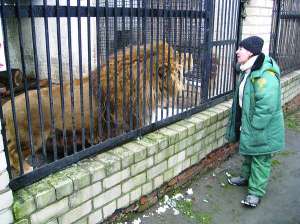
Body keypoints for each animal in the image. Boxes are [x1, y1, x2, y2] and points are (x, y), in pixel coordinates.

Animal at [2, 41, 192, 173]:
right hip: (32, 137)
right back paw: (27, 169)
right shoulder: (126, 125)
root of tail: (6, 106)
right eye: (178, 61)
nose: (190, 56)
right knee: (12, 153)